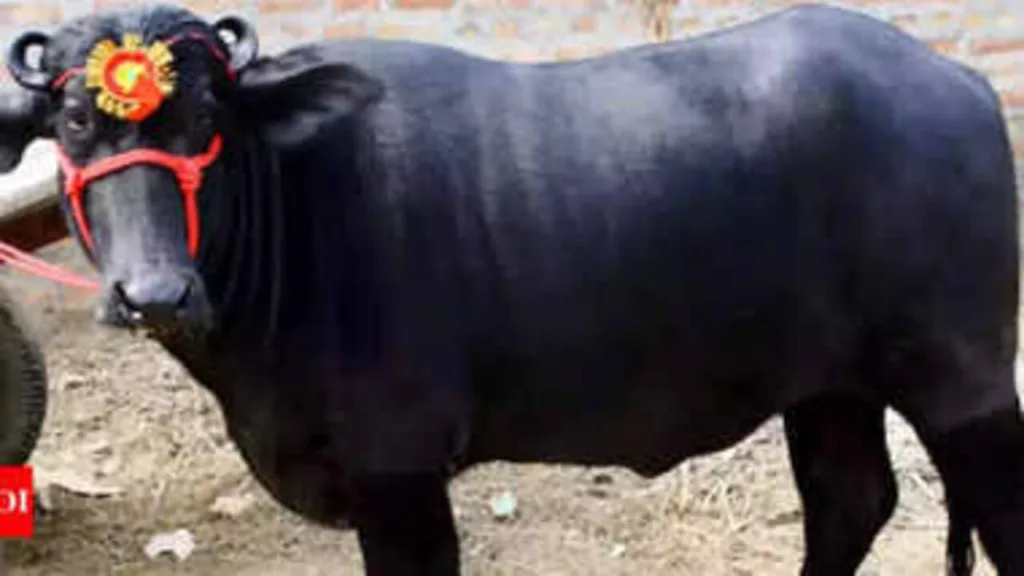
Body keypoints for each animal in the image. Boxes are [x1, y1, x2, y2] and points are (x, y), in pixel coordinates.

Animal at [0, 3, 1021, 575]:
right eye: (75, 119)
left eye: (208, 112)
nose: (154, 293)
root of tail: (961, 83)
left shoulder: (398, 470)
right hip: (828, 388)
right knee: (850, 501)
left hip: (963, 381)